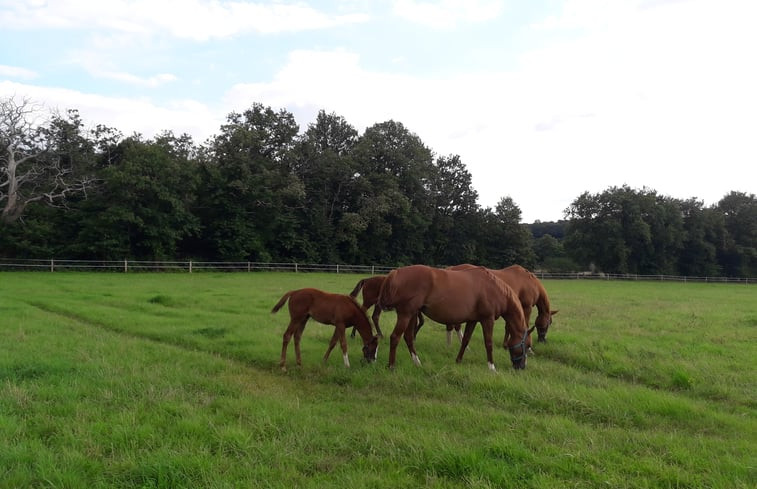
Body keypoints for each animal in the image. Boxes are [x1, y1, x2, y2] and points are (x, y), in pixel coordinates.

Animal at [416, 264, 560, 344]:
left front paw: (505, 343)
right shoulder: (526, 307)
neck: (529, 282)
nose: (542, 340)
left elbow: (508, 326)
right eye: (549, 323)